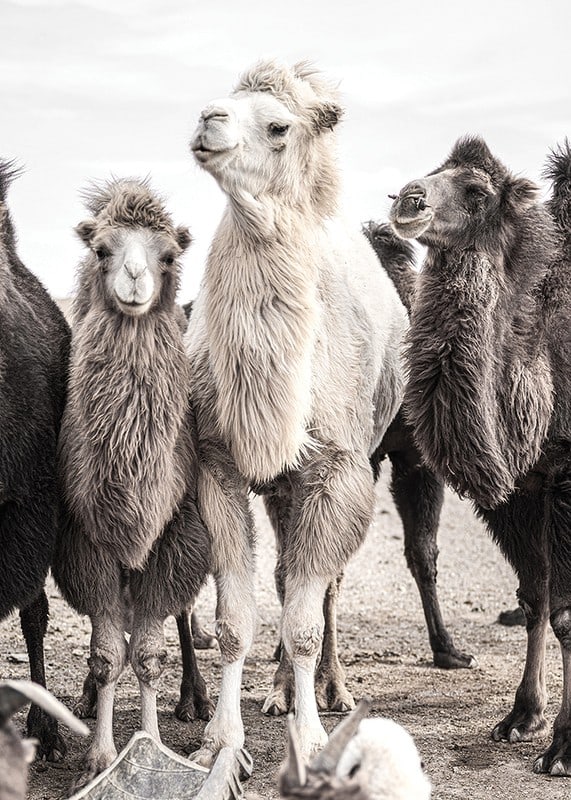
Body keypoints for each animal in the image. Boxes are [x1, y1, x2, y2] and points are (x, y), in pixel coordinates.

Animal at [53, 178, 212, 788]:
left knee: (184, 617)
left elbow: (146, 656)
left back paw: (197, 698)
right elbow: (106, 656)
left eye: (168, 255)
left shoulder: (174, 537)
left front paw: (150, 745)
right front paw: (98, 758)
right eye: (102, 250)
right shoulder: (85, 541)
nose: (137, 277)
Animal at [185, 59, 408, 763]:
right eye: (228, 101)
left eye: (279, 126)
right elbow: (235, 619)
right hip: (283, 486)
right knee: (286, 576)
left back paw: (329, 690)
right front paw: (220, 742)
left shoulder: (337, 471)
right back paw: (280, 690)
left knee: (324, 587)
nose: (208, 118)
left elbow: (309, 619)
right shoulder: (218, 465)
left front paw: (310, 742)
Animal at [389, 136, 571, 775]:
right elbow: (537, 601)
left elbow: (565, 612)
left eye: (476, 192)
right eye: (433, 170)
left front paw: (563, 747)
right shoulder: (520, 490)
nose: (409, 197)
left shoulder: (566, 478)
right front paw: (522, 717)